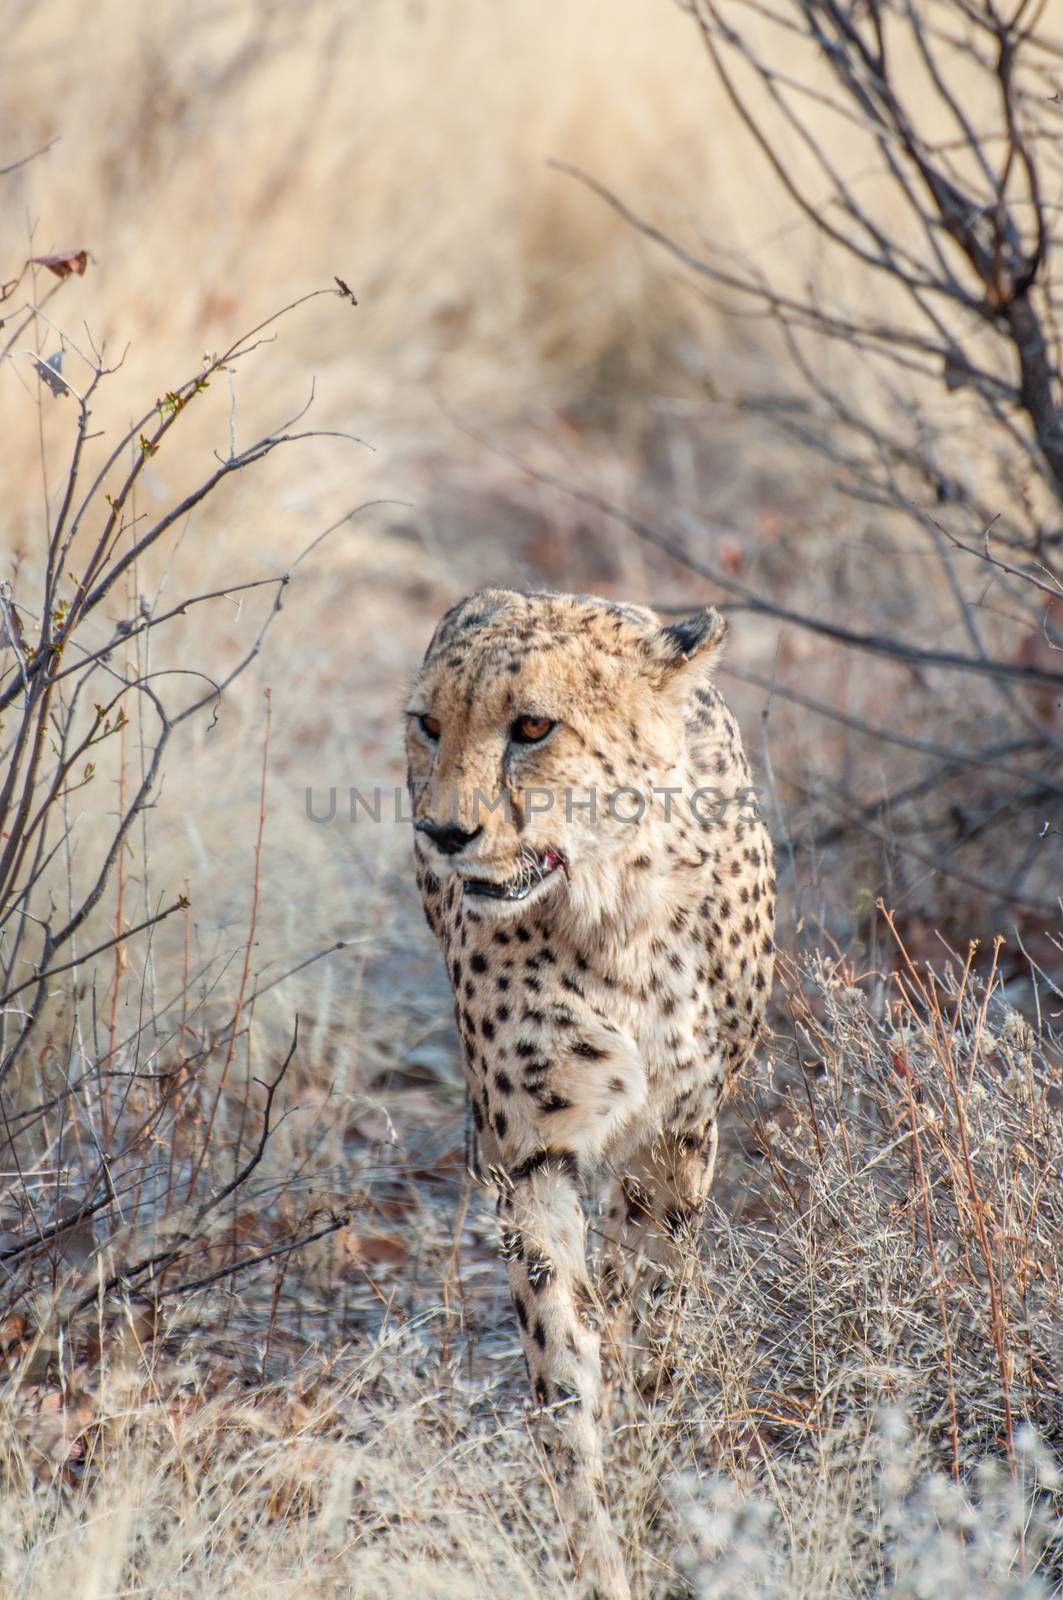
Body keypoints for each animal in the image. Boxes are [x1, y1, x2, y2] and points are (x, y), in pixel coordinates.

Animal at [405, 588, 771, 1600]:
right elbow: (560, 1360)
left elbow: (654, 1327)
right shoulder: (531, 1153)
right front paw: (597, 1548)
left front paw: (649, 1487)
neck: (613, 910)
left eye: (533, 727)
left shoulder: (677, 1137)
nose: (444, 833)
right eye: (429, 725)